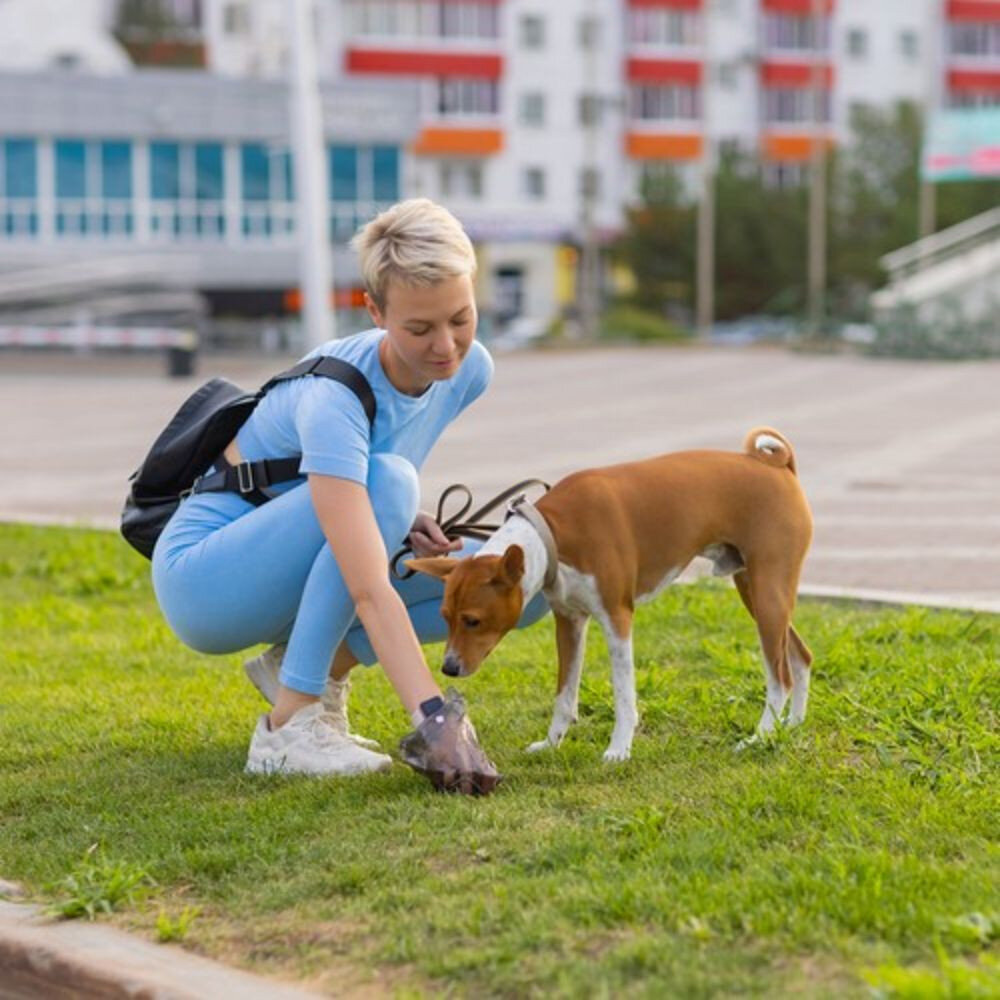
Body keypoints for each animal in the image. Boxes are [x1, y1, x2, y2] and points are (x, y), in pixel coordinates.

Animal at [410, 426, 816, 760]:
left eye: (472, 621)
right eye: (445, 617)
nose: (448, 667)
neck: (554, 534)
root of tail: (778, 466)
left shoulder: (617, 618)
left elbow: (623, 695)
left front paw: (619, 749)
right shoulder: (569, 623)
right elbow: (564, 696)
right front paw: (551, 743)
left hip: (768, 593)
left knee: (780, 678)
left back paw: (759, 738)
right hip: (758, 594)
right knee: (800, 657)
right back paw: (791, 726)